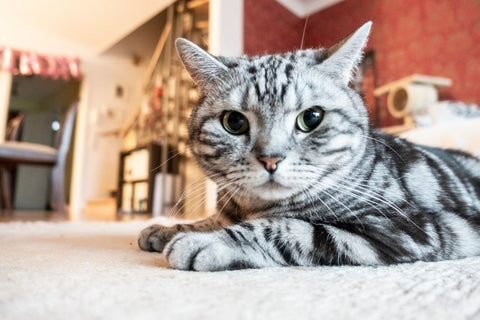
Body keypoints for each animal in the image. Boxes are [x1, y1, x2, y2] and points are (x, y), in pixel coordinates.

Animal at [137, 21, 480, 270]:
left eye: (311, 118)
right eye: (234, 122)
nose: (271, 159)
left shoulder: (403, 228)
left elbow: (286, 228)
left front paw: (207, 241)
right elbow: (210, 219)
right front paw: (168, 229)